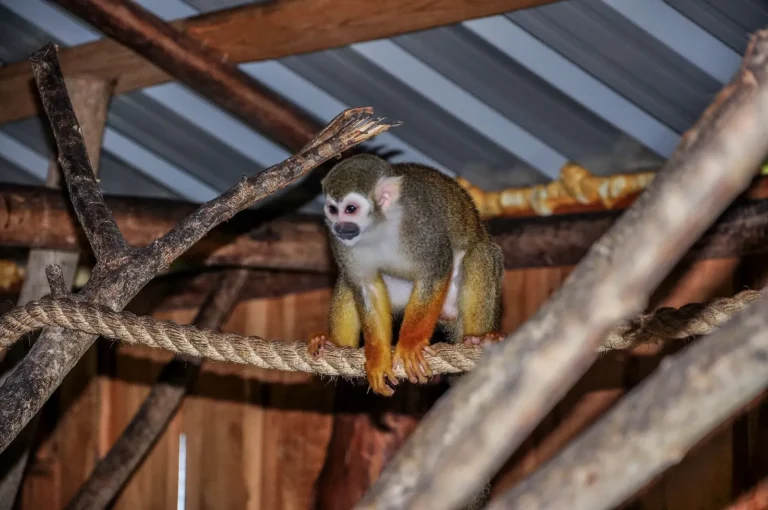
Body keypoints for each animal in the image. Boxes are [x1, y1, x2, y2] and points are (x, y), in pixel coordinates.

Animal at [308, 153, 505, 397]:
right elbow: (366, 286)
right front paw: (377, 358)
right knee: (349, 280)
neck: (379, 226)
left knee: (478, 254)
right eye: (332, 210)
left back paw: (480, 339)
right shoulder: (340, 244)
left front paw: (410, 345)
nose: (339, 227)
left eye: (350, 208)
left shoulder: (422, 226)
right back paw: (335, 344)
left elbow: (435, 270)